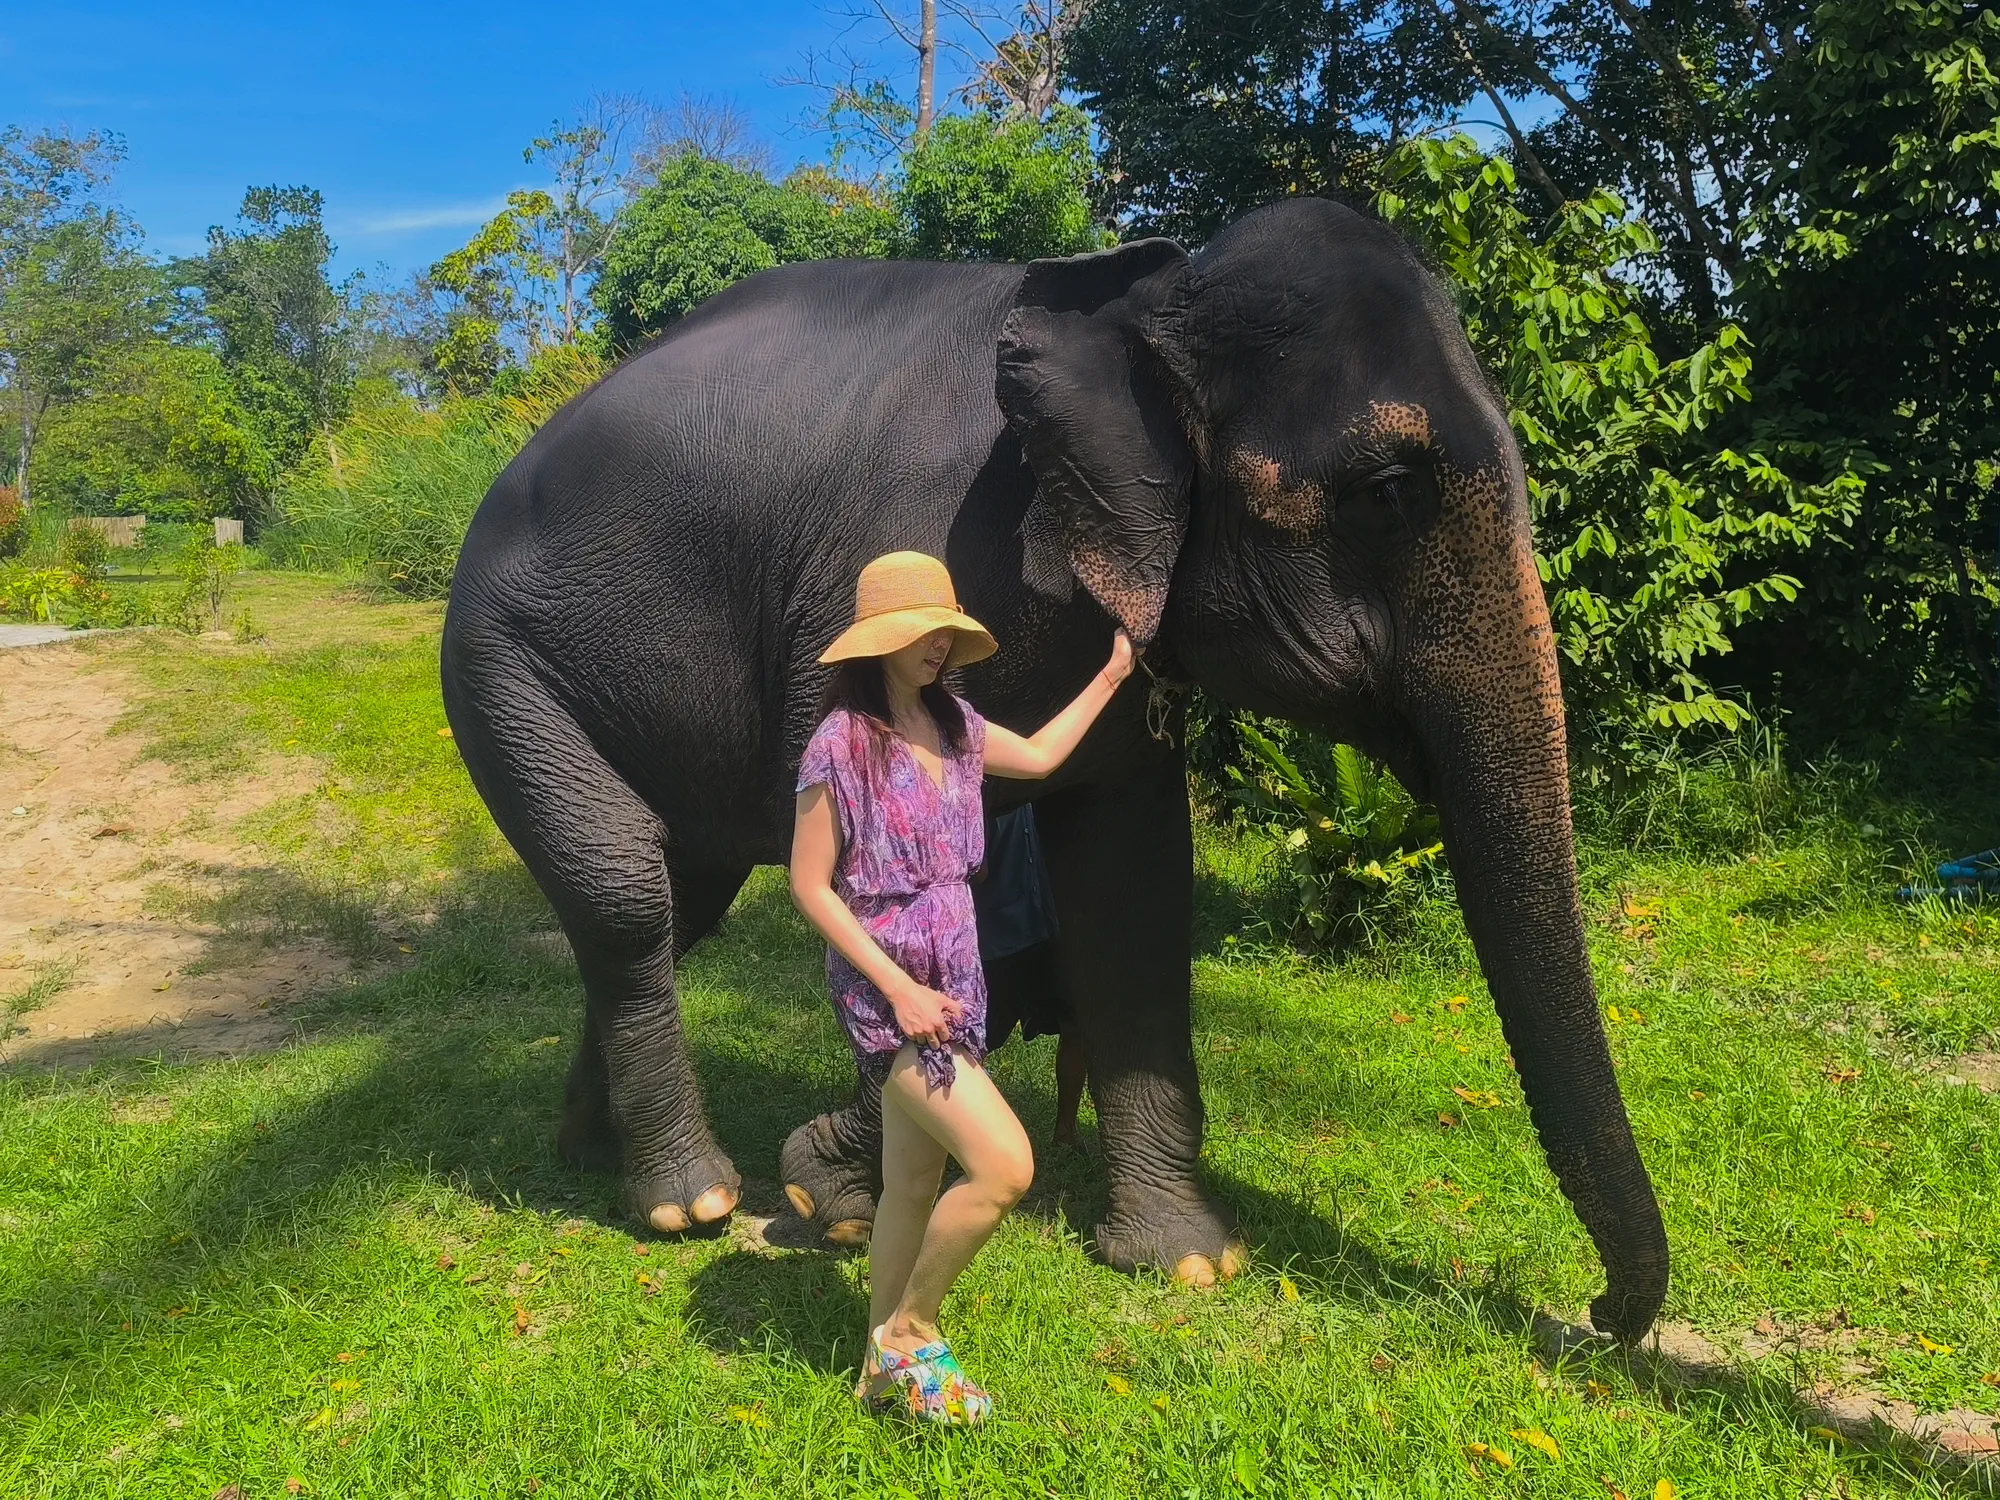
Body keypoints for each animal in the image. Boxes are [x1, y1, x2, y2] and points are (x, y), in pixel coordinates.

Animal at [439, 196, 1669, 1340]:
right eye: (1388, 490)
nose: (1599, 1315)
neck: (1142, 292)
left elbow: (1132, 888)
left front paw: (1186, 1261)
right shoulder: (871, 575)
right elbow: (859, 872)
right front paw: (834, 1184)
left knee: (671, 902)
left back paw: (596, 1160)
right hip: (498, 663)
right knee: (623, 897)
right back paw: (686, 1203)